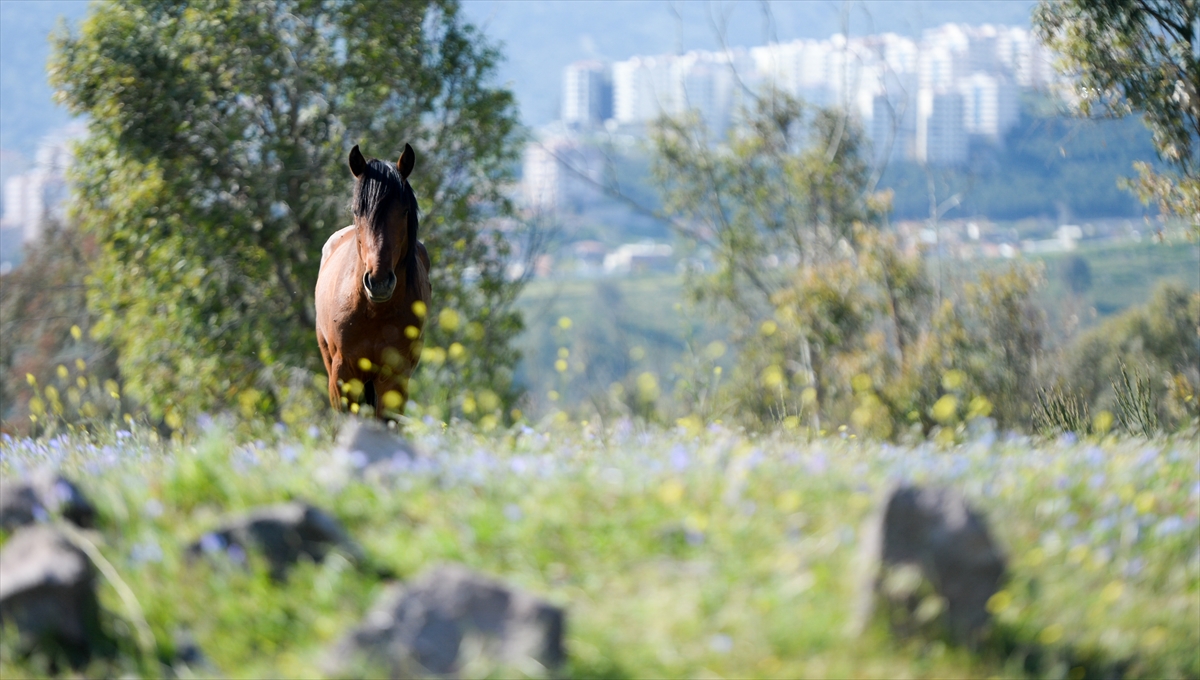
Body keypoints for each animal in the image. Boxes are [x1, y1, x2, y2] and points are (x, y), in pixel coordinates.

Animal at [316, 144, 434, 419]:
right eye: (358, 211)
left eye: (404, 211)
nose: (379, 282)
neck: (374, 311)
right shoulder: (342, 375)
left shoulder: (394, 379)